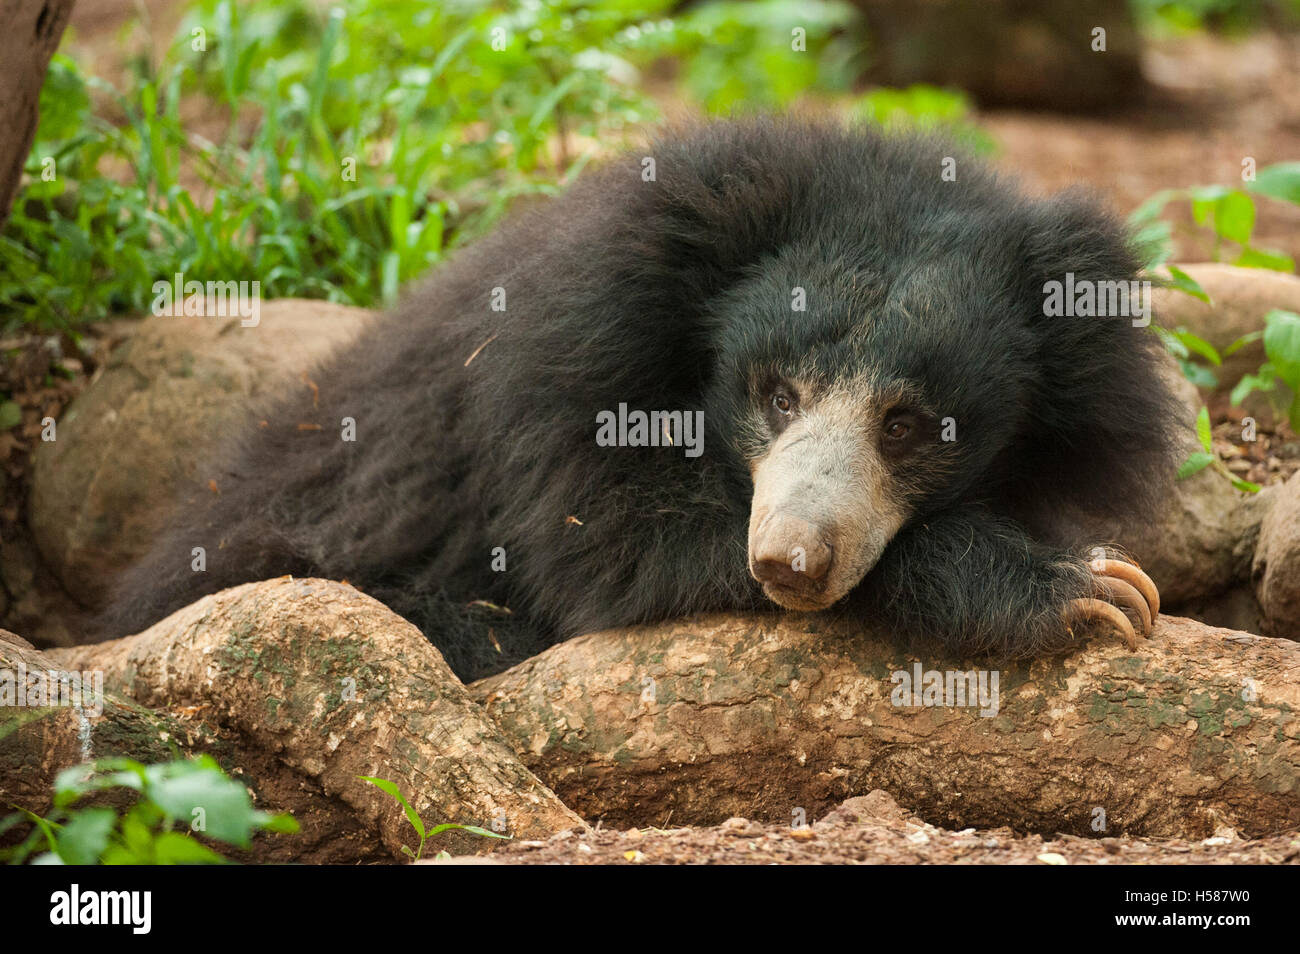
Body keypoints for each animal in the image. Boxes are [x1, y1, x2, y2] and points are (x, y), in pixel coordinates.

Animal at [104, 117, 1180, 681]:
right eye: (776, 394)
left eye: (907, 426)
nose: (790, 562)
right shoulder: (556, 380)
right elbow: (614, 544)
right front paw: (1088, 589)